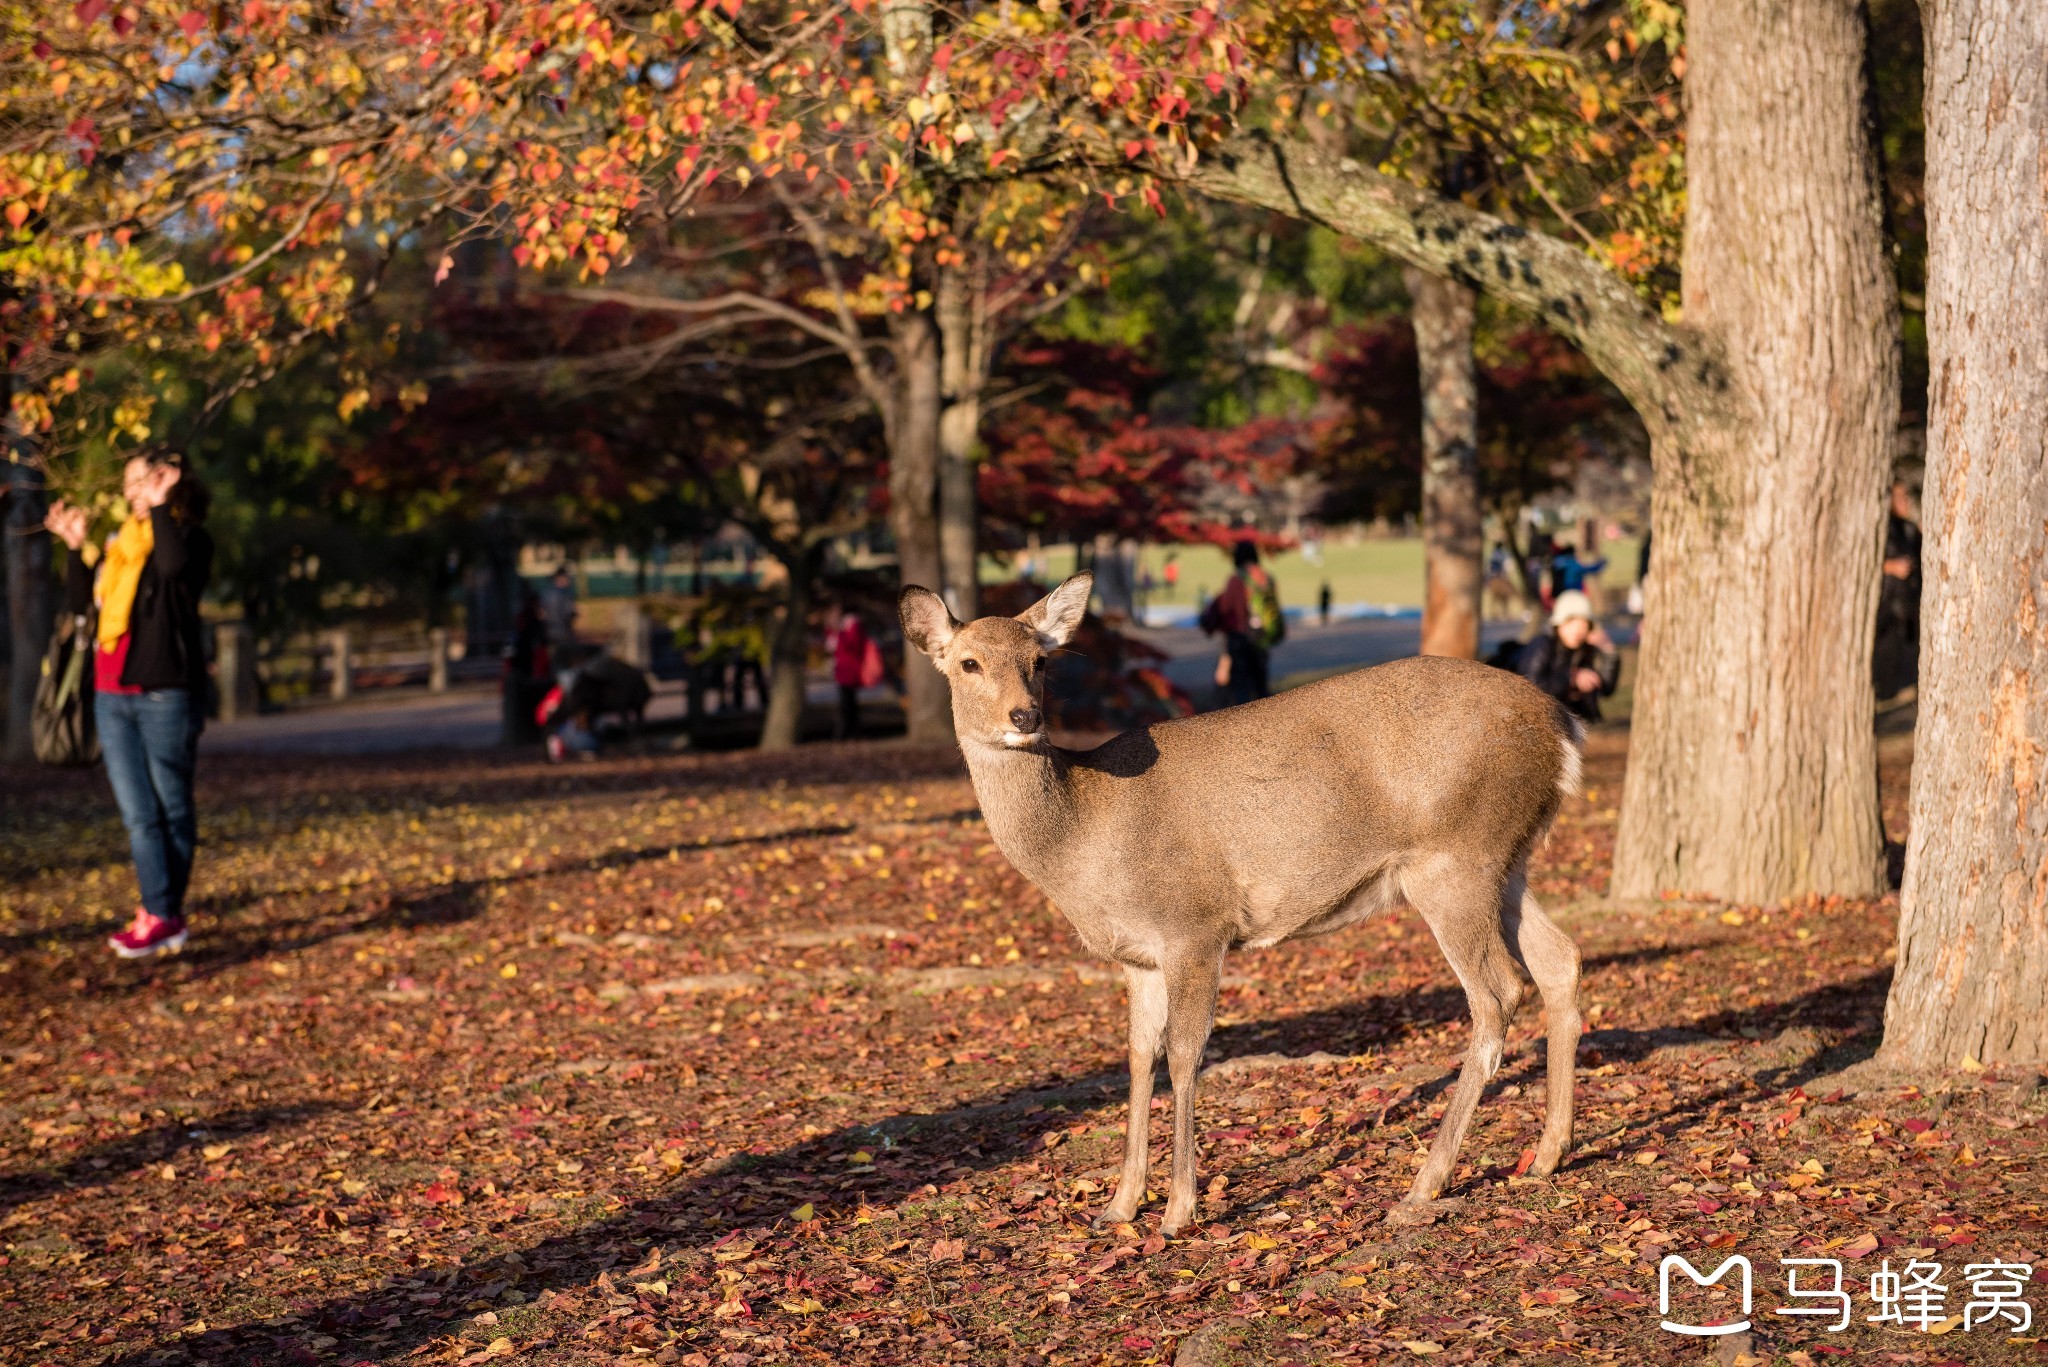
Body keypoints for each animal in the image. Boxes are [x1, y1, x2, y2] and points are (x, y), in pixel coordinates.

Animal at [905, 573, 1589, 1237]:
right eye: (968, 662)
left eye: (1040, 660)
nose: (1024, 716)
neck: (1082, 841)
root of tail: (1564, 726)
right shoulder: (1137, 957)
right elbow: (1137, 1055)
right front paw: (1120, 1205)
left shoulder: (1194, 925)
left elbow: (1185, 1054)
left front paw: (1178, 1210)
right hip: (1507, 861)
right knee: (1560, 960)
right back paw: (1547, 1155)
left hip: (1454, 857)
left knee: (1498, 992)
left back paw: (1425, 1184)